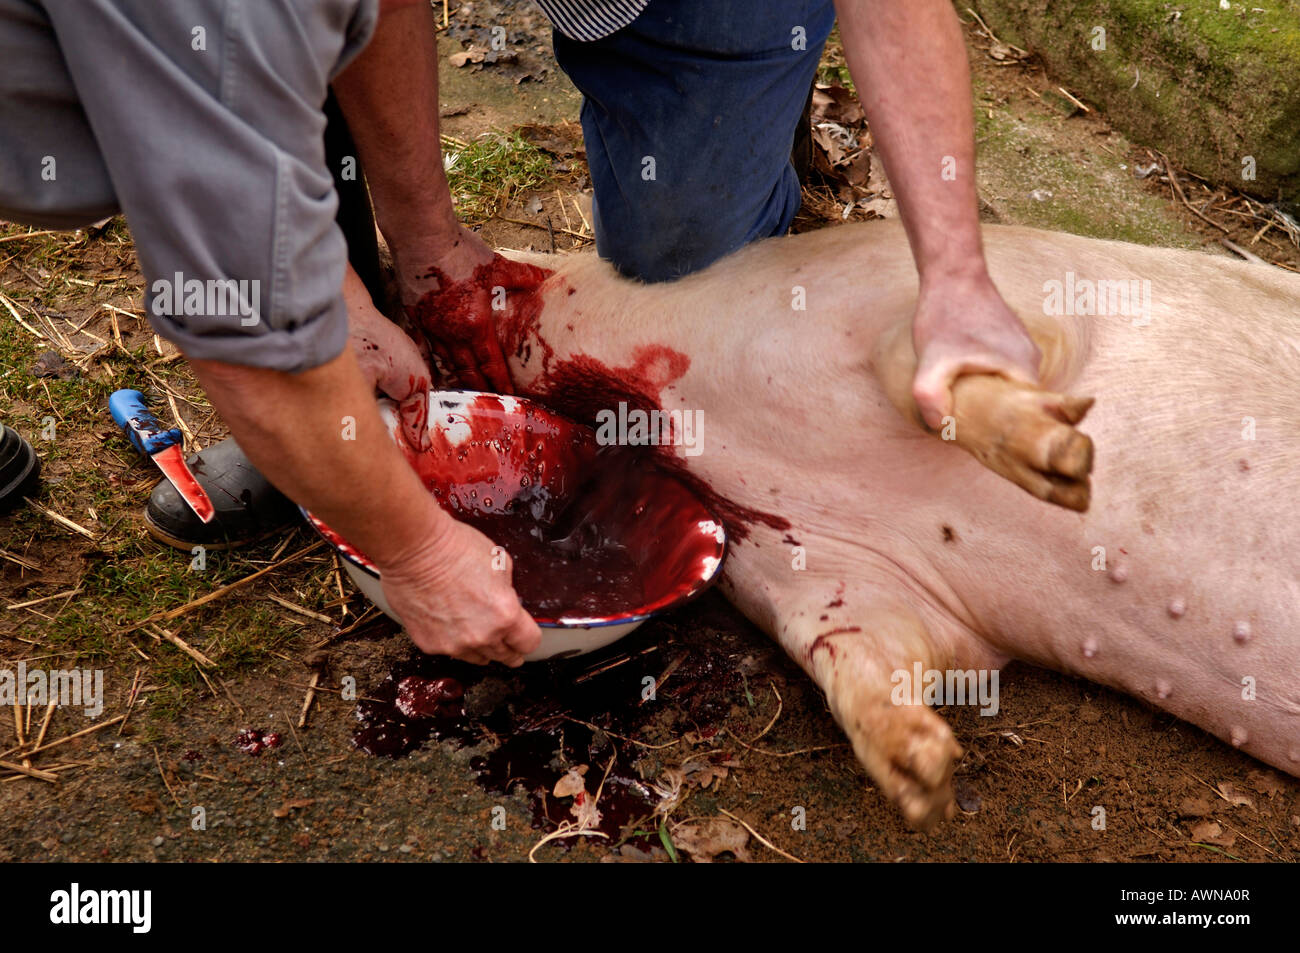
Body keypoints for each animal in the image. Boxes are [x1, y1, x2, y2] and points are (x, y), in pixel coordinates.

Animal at [408, 219, 1300, 826]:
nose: (413, 276)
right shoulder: (833, 572)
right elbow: (861, 661)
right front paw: (926, 774)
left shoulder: (955, 299)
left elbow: (944, 374)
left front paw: (1064, 462)